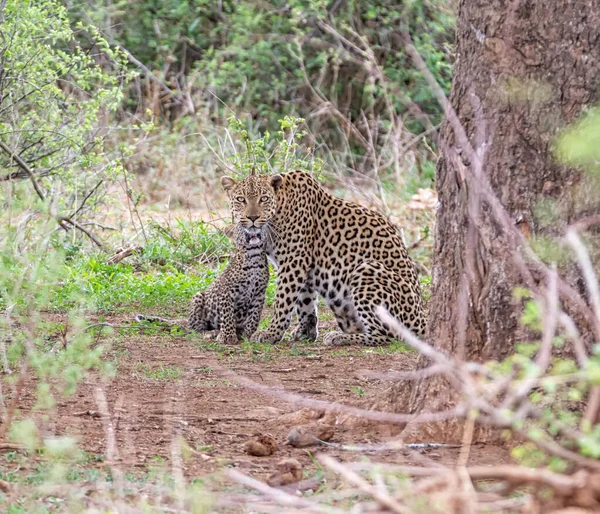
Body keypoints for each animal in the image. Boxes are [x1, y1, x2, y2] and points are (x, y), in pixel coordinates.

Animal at [220, 171, 426, 344]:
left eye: (263, 199)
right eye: (240, 200)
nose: (252, 218)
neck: (279, 210)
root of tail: (422, 318)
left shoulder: (294, 262)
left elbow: (283, 300)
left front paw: (271, 333)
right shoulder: (303, 266)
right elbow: (305, 302)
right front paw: (305, 333)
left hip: (366, 269)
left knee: (386, 336)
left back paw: (338, 337)